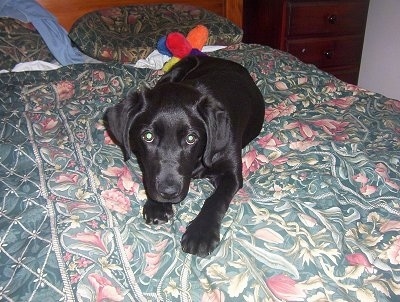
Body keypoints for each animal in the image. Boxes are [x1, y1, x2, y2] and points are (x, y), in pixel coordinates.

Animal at [104, 55, 264, 256]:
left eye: (191, 138)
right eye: (148, 136)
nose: (168, 193)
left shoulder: (231, 173)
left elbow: (216, 199)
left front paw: (201, 232)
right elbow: (149, 177)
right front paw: (157, 206)